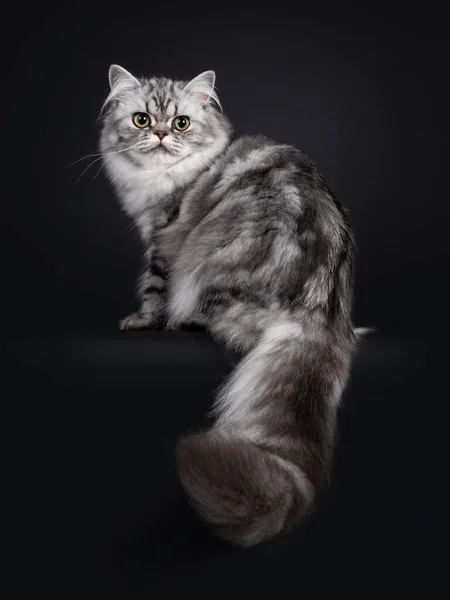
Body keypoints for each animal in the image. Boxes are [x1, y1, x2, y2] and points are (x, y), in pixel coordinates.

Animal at [100, 64, 360, 544]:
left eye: (181, 123)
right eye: (142, 120)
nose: (161, 134)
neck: (161, 179)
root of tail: (321, 308)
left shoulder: (163, 238)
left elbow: (154, 287)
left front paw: (144, 320)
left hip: (214, 263)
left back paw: (183, 322)